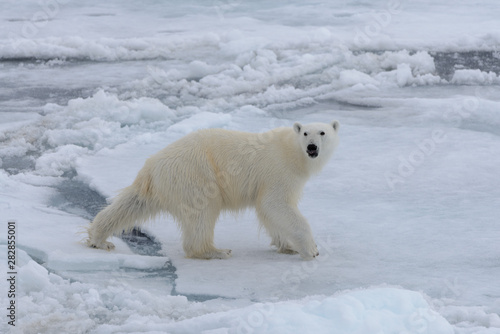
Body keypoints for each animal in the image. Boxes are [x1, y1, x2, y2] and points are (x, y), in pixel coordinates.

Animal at [88, 121, 342, 260]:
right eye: (306, 133)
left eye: (322, 133)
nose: (312, 147)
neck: (292, 151)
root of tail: (151, 167)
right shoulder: (278, 170)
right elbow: (275, 204)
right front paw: (311, 249)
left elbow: (269, 212)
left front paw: (287, 246)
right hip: (196, 176)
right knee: (203, 212)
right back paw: (215, 251)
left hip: (161, 184)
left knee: (131, 203)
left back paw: (99, 239)